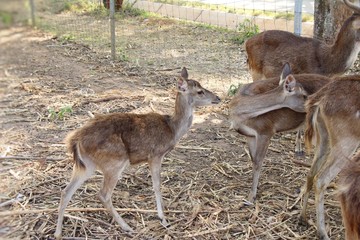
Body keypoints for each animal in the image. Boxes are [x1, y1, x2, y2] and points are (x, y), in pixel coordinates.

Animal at [54, 67, 221, 238]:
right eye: (200, 91)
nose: (218, 97)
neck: (172, 130)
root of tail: (76, 140)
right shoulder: (155, 155)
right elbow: (157, 185)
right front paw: (163, 218)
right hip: (114, 163)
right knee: (103, 194)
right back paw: (126, 227)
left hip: (86, 165)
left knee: (66, 192)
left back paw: (58, 233)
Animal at [229, 63, 330, 202]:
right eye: (304, 95)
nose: (314, 102)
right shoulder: (249, 135)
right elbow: (253, 159)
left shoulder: (266, 130)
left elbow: (258, 162)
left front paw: (251, 197)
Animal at [296, 76, 360, 240]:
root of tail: (319, 99)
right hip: (346, 141)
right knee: (321, 179)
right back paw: (322, 233)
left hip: (323, 137)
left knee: (311, 174)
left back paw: (303, 218)